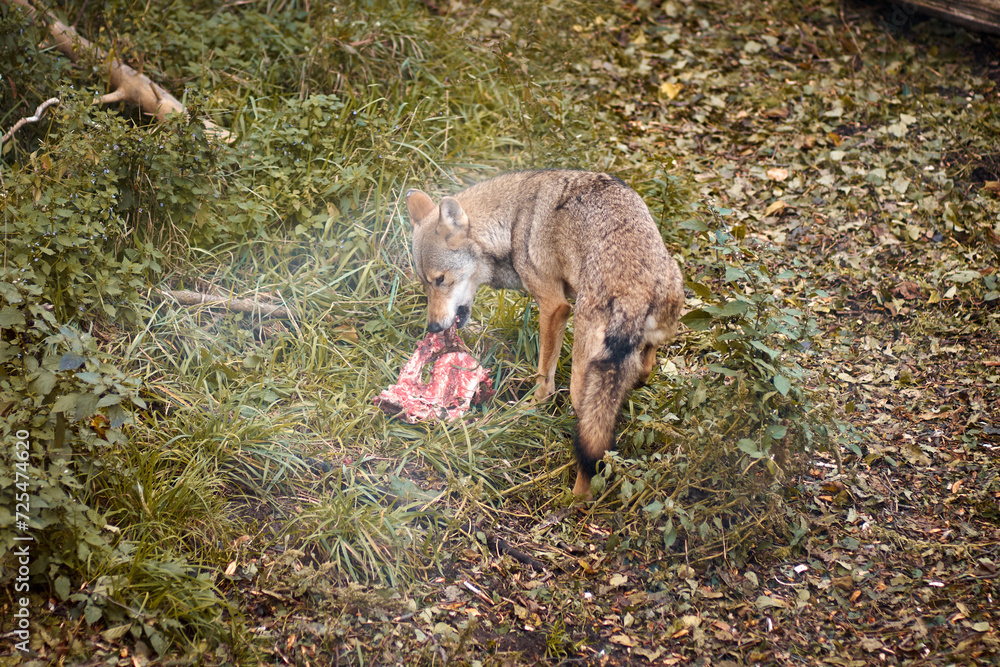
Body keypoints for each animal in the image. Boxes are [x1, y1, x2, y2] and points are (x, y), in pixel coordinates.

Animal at [405, 170, 684, 499]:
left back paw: (576, 499)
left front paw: (529, 409)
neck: (513, 222)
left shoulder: (554, 307)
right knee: (645, 366)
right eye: (424, 283)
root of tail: (633, 296)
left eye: (440, 280)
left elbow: (544, 378)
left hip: (580, 382)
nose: (433, 328)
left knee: (590, 446)